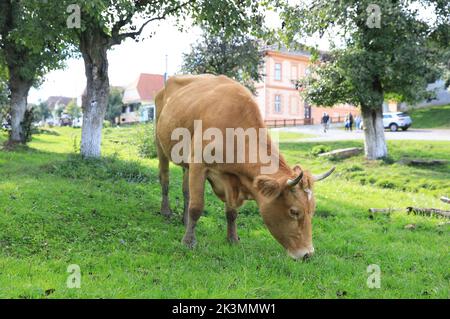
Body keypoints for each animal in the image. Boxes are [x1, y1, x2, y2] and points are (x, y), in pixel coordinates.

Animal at [156, 74, 334, 260]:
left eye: (312, 210)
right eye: (294, 211)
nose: (307, 254)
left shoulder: (230, 178)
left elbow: (232, 212)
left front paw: (232, 239)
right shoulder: (199, 165)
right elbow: (196, 207)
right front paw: (188, 242)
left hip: (186, 163)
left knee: (186, 190)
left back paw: (184, 219)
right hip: (160, 144)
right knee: (165, 180)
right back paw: (166, 211)